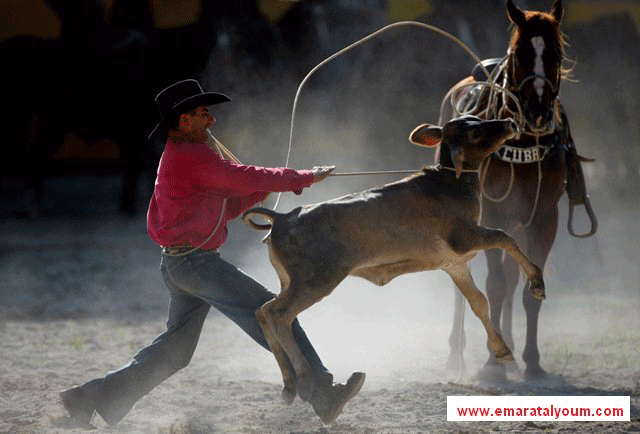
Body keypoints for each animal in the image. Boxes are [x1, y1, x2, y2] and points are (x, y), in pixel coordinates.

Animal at [438, 0, 596, 380]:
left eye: (556, 52)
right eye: (520, 52)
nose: (538, 112)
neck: (523, 143)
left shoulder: (543, 220)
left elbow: (526, 287)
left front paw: (531, 361)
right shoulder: (492, 216)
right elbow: (493, 286)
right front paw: (492, 365)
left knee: (511, 279)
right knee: (463, 280)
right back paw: (457, 354)